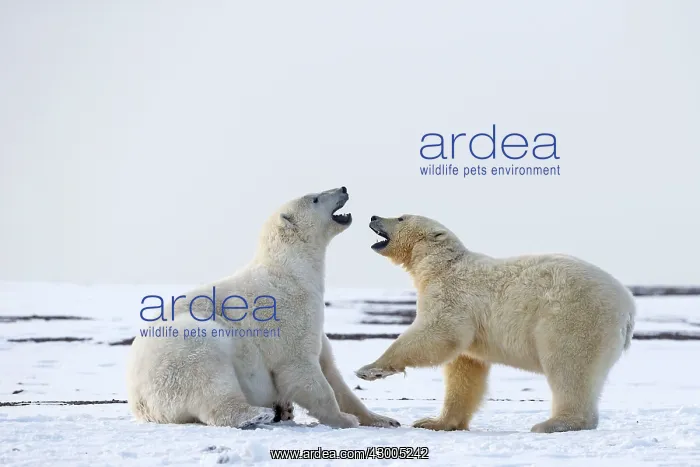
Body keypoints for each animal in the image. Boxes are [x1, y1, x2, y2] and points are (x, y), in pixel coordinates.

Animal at [126, 187, 399, 429]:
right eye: (315, 198)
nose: (343, 188)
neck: (292, 271)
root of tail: (139, 403)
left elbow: (332, 372)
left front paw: (383, 419)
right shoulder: (289, 315)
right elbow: (300, 369)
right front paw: (344, 419)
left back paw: (282, 411)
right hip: (182, 348)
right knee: (207, 376)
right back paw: (257, 414)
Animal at [355, 214, 636, 433]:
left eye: (401, 217)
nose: (374, 216)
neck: (439, 266)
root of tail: (629, 307)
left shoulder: (452, 294)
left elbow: (438, 334)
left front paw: (369, 369)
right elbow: (465, 369)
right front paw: (433, 422)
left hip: (575, 317)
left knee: (568, 365)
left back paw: (553, 423)